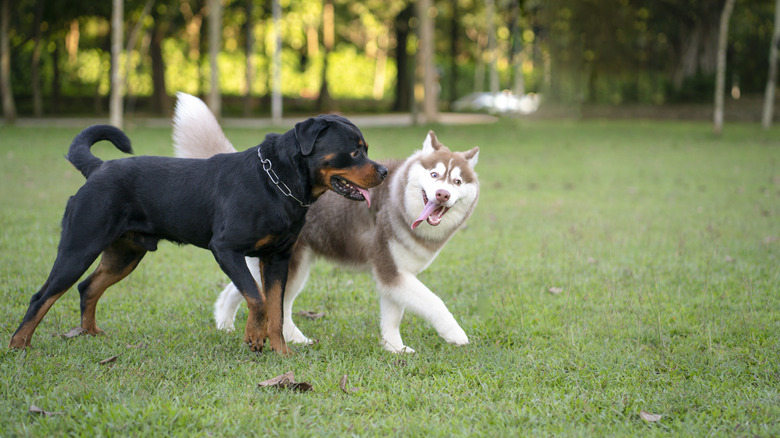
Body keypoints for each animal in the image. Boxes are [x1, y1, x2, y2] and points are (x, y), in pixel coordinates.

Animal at [9, 118, 386, 354]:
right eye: (355, 151)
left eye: (366, 148)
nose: (383, 170)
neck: (278, 182)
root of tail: (98, 168)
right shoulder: (226, 249)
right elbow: (256, 298)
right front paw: (253, 338)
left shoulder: (278, 258)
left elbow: (276, 310)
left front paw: (280, 352)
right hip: (79, 246)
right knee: (42, 296)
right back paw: (19, 346)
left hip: (125, 254)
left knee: (88, 287)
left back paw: (90, 333)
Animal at [175, 93, 482, 352]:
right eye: (434, 175)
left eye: (456, 182)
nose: (442, 194)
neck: (399, 199)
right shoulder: (391, 270)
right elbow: (434, 301)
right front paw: (456, 334)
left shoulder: (394, 275)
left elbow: (393, 317)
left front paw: (394, 348)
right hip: (290, 262)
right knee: (272, 302)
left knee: (249, 294)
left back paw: (231, 325)